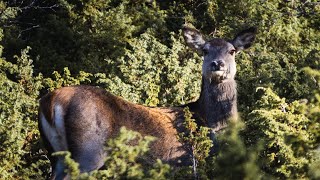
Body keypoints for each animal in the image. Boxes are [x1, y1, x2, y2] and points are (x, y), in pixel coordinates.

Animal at [38, 26, 258, 179]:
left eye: (232, 51)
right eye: (204, 50)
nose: (217, 64)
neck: (210, 123)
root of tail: (52, 101)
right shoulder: (186, 162)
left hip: (55, 153)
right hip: (87, 152)